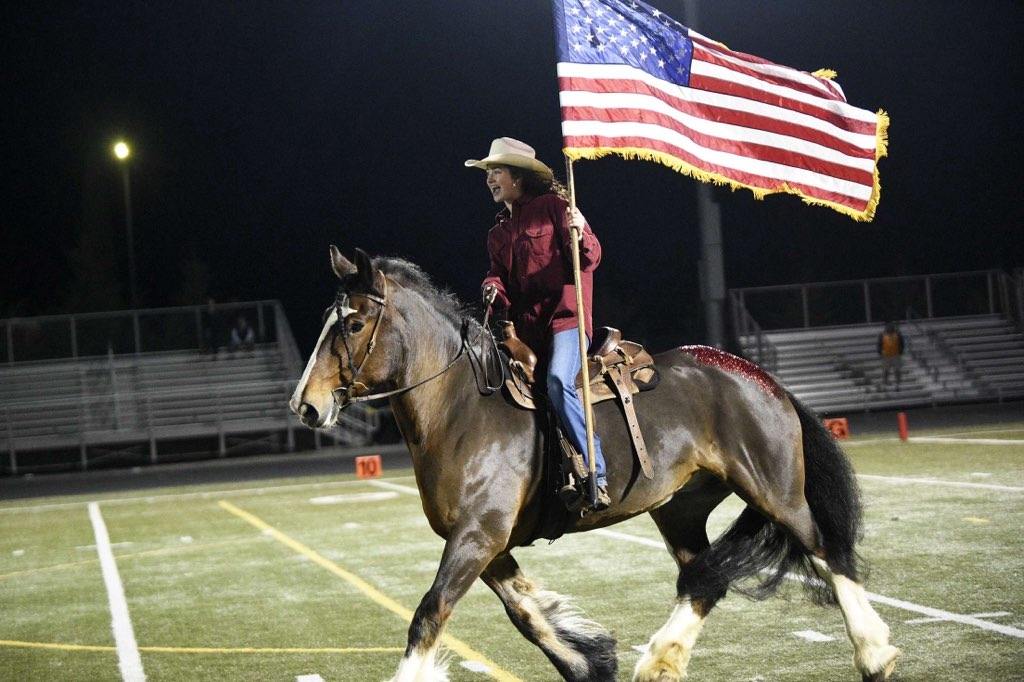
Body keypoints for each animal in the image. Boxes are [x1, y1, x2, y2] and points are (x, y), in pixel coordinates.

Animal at [286, 245, 897, 679]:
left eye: (353, 324)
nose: (305, 405)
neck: (463, 408)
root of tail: (759, 376)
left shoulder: (478, 536)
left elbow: (430, 613)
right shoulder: (490, 545)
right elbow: (528, 617)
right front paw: (594, 661)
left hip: (775, 490)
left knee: (827, 550)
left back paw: (875, 655)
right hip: (680, 509)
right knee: (704, 580)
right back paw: (659, 661)